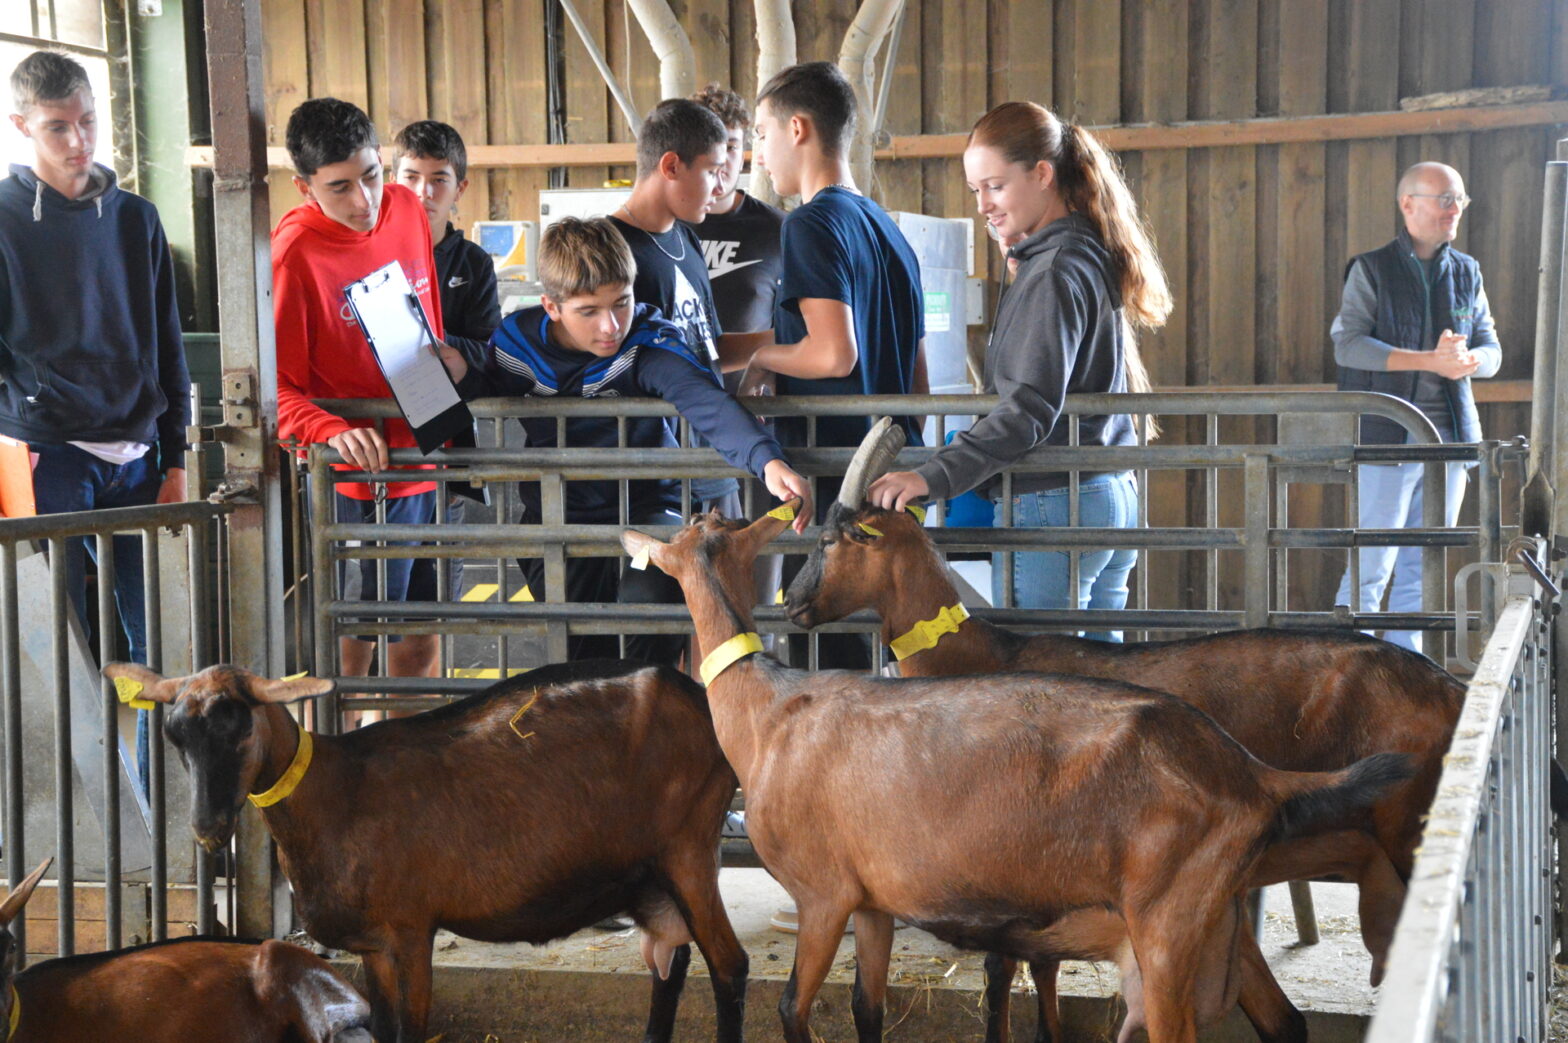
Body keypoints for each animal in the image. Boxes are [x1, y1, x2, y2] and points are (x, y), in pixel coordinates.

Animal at [101, 658, 749, 1041]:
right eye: (174, 735)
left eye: (240, 725)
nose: (207, 827)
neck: (335, 793)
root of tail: (692, 691)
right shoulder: (374, 947)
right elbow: (385, 1028)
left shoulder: (410, 929)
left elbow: (412, 1030)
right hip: (651, 877)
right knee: (668, 963)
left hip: (689, 847)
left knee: (728, 965)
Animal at [620, 501, 1411, 1041]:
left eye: (829, 542)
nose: (793, 602)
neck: (767, 709)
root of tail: (1248, 773)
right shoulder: (871, 901)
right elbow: (866, 1008)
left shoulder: (822, 894)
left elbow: (792, 1008)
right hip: (1212, 922)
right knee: (1280, 1018)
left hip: (1167, 925)